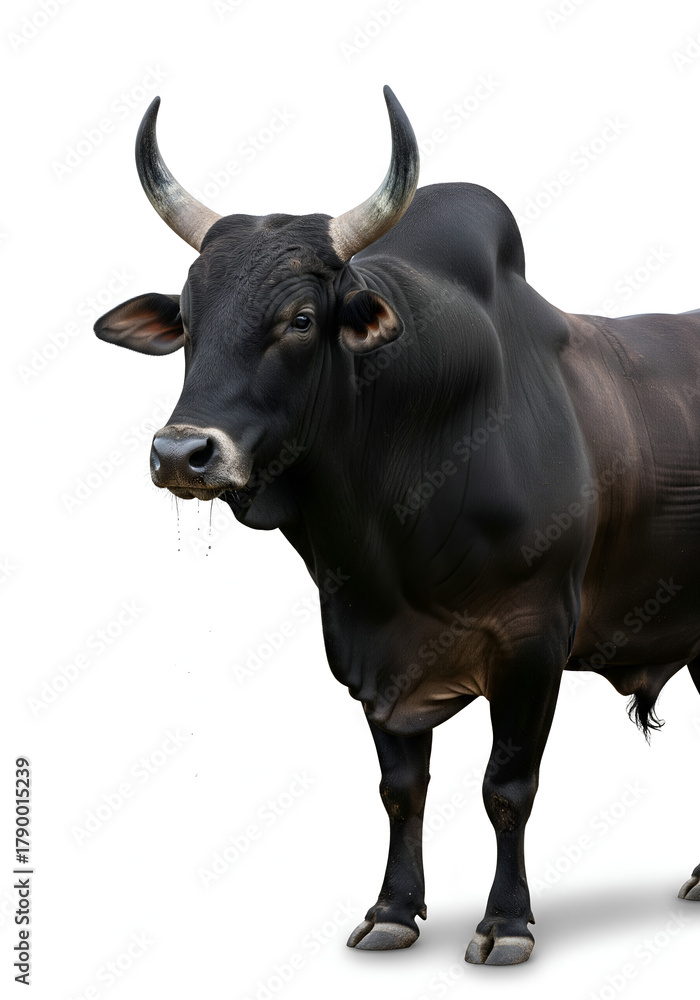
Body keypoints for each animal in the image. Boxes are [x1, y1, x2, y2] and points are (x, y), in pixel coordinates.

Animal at [94, 87, 700, 966]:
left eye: (300, 318)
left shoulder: (533, 643)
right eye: (188, 321)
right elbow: (401, 789)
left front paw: (506, 922)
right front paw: (392, 909)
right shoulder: (373, 658)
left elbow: (507, 787)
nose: (183, 452)